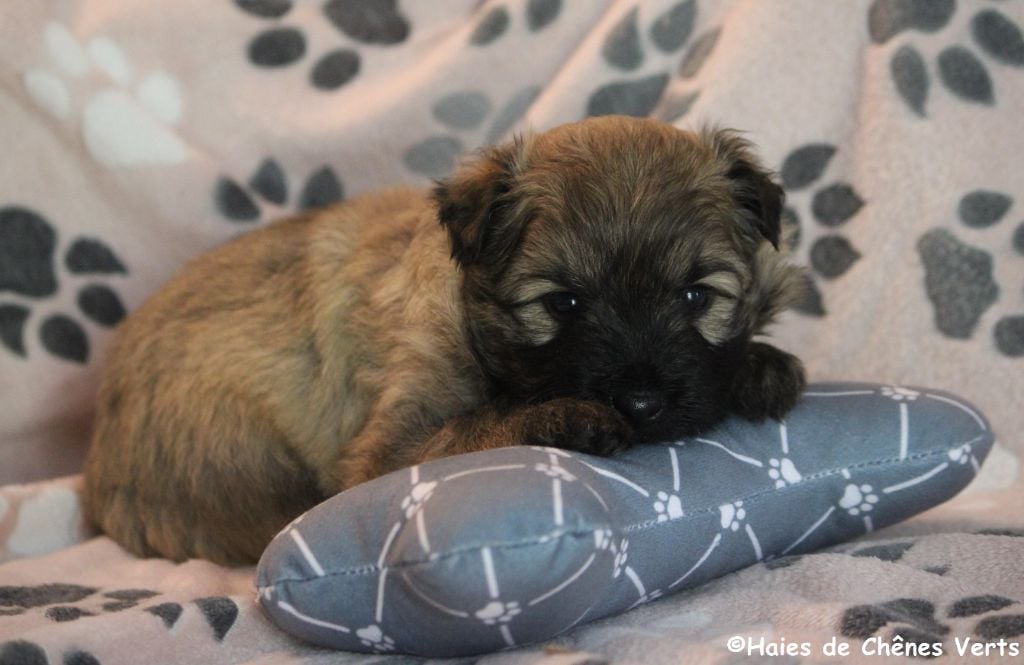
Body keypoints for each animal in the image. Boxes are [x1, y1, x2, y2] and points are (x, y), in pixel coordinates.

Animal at [83, 116, 806, 561]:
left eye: (697, 297)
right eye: (562, 303)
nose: (642, 403)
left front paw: (759, 366)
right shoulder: (389, 450)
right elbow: (480, 422)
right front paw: (562, 416)